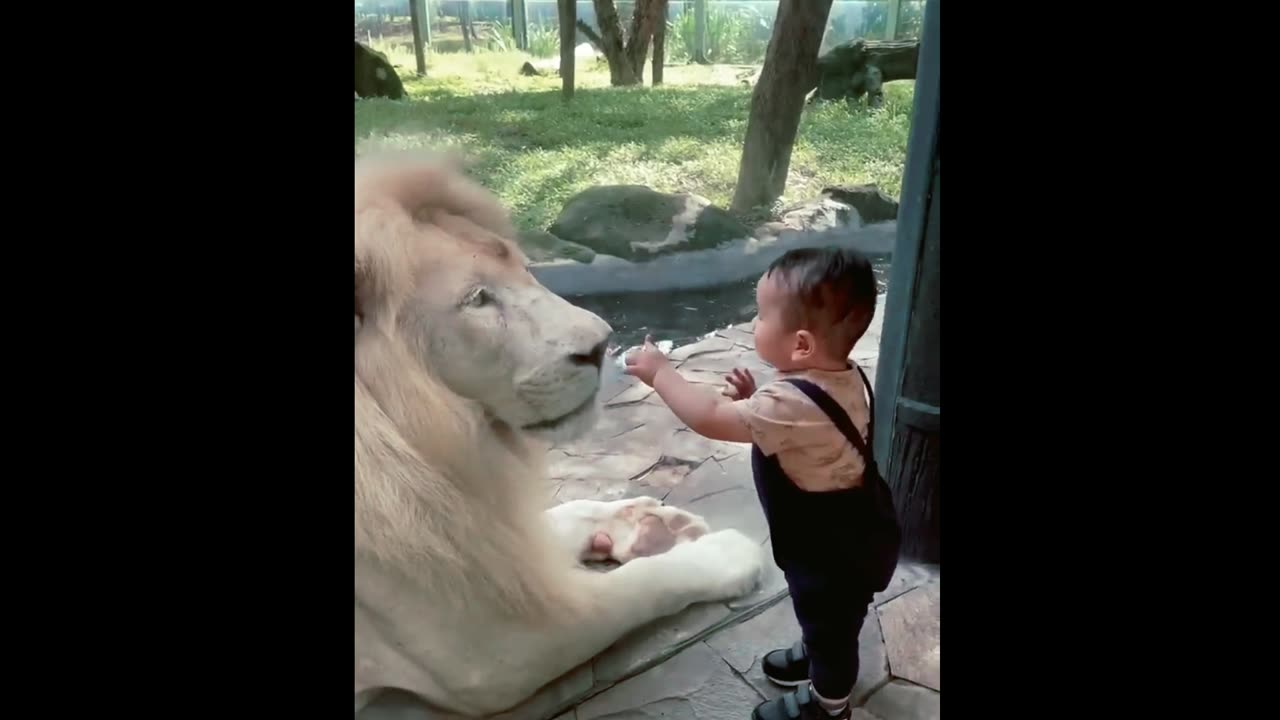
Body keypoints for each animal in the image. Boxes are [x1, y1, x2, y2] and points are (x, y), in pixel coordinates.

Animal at [355, 149, 762, 712]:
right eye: (478, 299)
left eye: (523, 268)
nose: (601, 345)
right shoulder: (495, 650)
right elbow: (644, 584)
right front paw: (725, 553)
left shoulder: (480, 531)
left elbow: (555, 522)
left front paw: (644, 523)